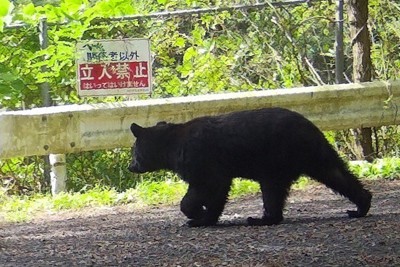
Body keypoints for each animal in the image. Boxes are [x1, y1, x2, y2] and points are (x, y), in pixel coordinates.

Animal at [128, 108, 372, 227]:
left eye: (133, 152)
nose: (131, 166)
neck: (171, 146)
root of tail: (310, 128)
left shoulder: (200, 159)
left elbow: (205, 186)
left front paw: (196, 215)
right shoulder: (218, 169)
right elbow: (218, 191)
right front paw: (206, 217)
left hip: (275, 159)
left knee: (273, 189)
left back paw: (259, 219)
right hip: (314, 153)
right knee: (336, 174)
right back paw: (361, 206)